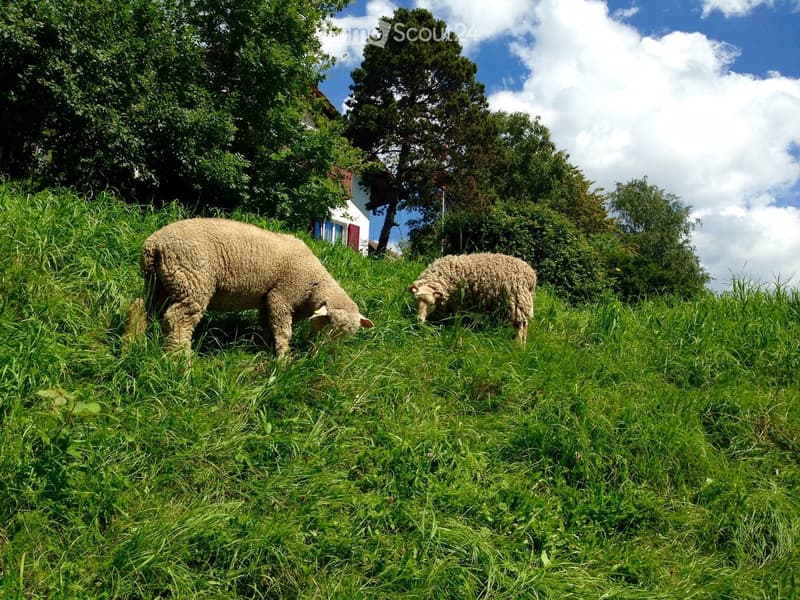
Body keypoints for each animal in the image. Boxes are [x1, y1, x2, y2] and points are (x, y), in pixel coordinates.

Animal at [125, 217, 373, 357]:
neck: (314, 283)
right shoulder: (280, 297)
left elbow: (267, 327)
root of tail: (154, 245)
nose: (326, 354)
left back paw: (131, 343)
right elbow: (284, 332)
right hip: (192, 280)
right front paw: (284, 361)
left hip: (163, 282)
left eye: (348, 335)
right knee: (177, 319)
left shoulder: (267, 302)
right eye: (329, 324)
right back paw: (180, 360)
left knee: (141, 306)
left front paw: (264, 347)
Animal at [408, 253, 537, 344]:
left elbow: (456, 316)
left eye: (431, 304)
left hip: (517, 298)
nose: (419, 320)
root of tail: (532, 275)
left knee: (522, 324)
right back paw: (523, 343)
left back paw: (517, 344)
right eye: (415, 301)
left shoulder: (457, 300)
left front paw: (455, 326)